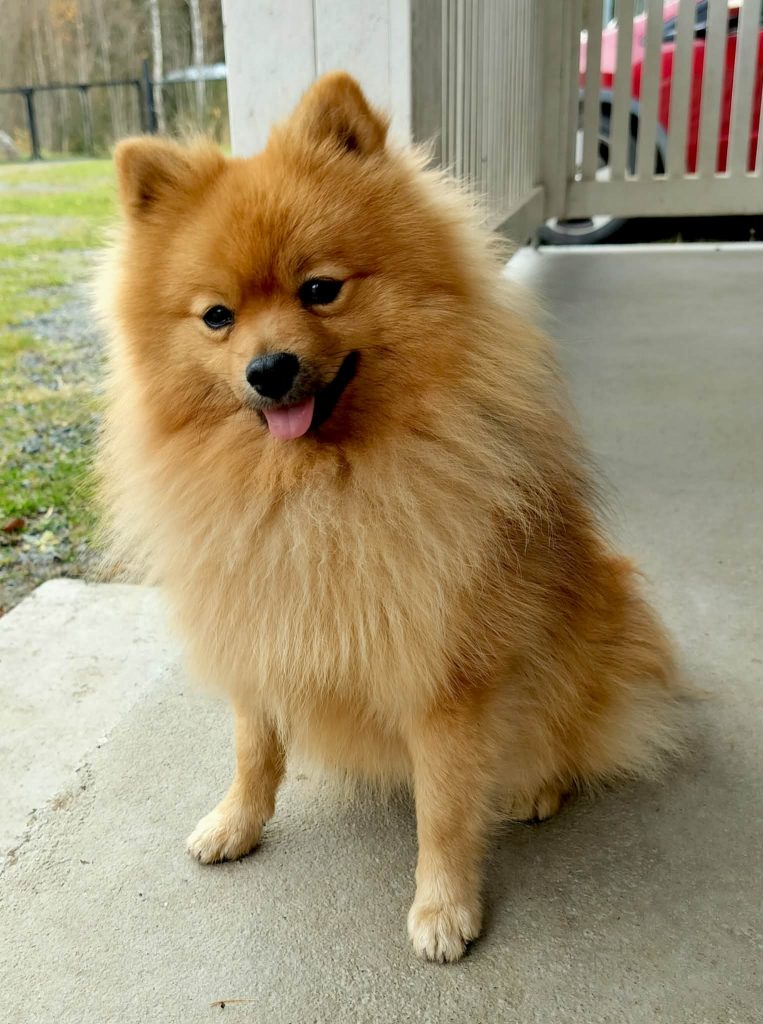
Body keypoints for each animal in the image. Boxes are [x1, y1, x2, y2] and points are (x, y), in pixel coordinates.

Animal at [98, 72, 684, 962]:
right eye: (217, 317)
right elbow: (253, 748)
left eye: (318, 289)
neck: (311, 490)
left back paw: (538, 786)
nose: (268, 370)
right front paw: (237, 822)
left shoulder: (446, 676)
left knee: (574, 733)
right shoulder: (258, 627)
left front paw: (443, 908)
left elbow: (442, 807)